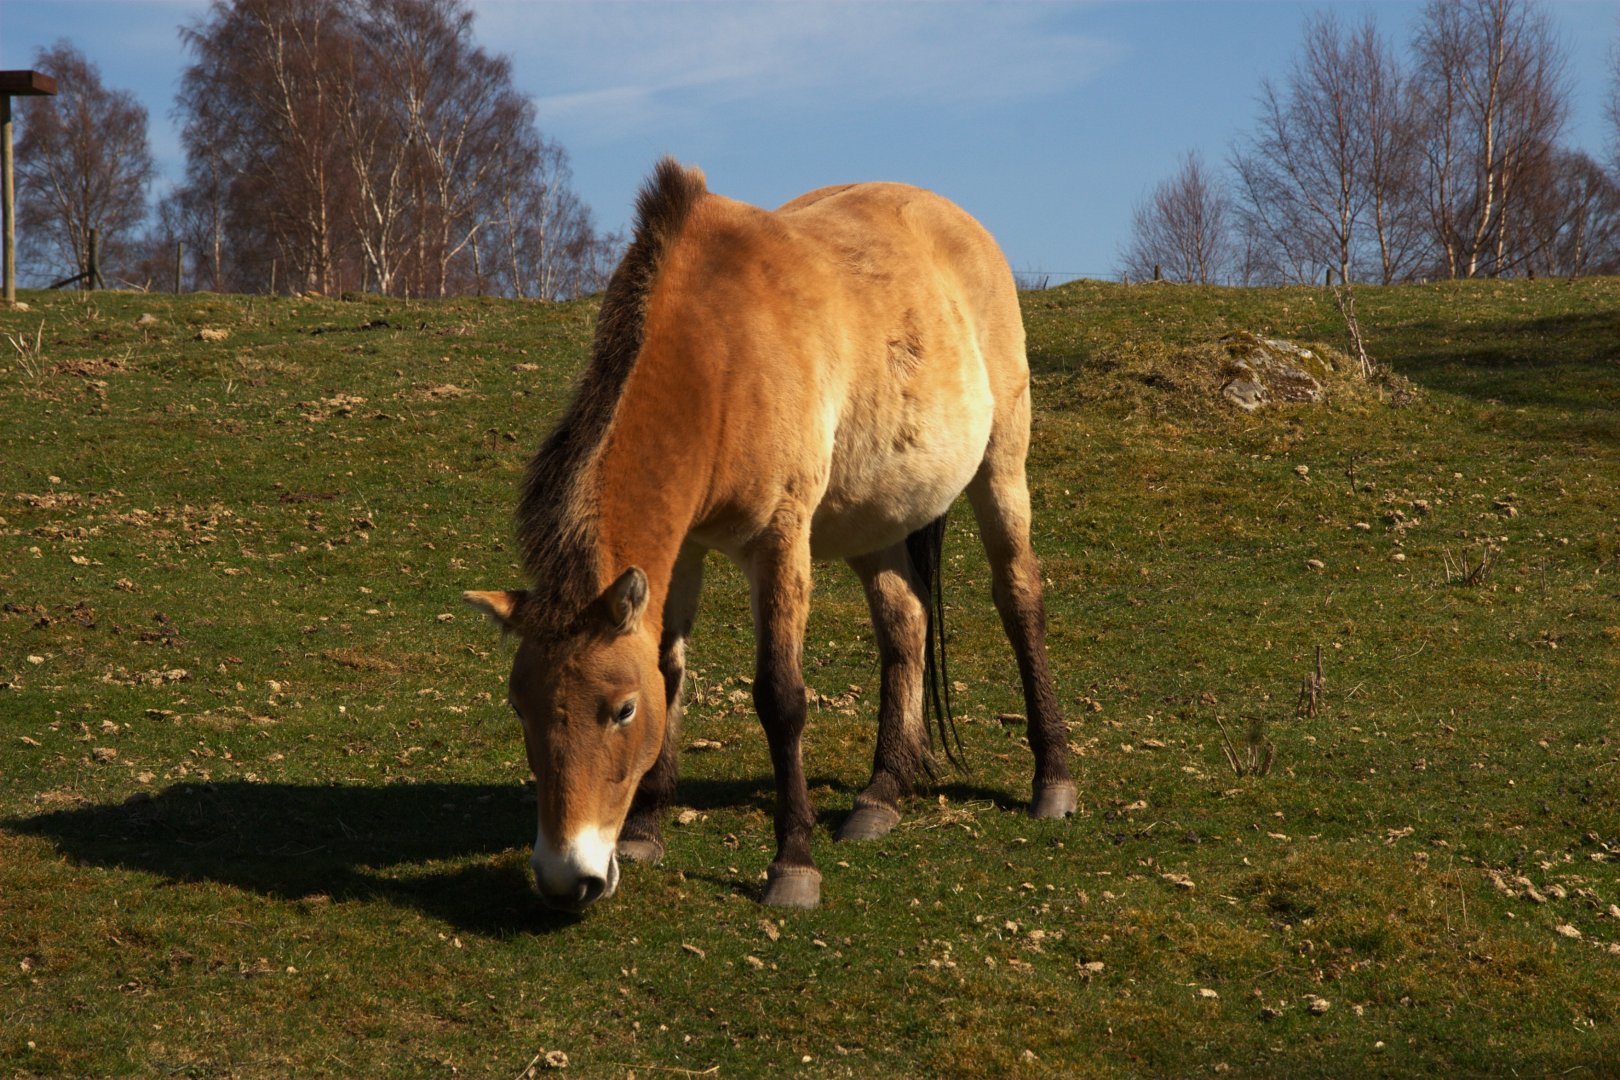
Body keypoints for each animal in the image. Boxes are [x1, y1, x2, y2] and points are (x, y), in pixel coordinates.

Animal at [466, 158, 1074, 912]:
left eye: (621, 710)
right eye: (519, 708)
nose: (565, 877)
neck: (717, 354)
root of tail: (957, 221)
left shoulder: (781, 540)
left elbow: (780, 697)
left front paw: (792, 865)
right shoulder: (685, 550)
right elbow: (672, 668)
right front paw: (645, 830)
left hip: (1000, 468)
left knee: (1019, 599)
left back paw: (1052, 780)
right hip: (873, 516)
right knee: (904, 621)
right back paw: (883, 792)